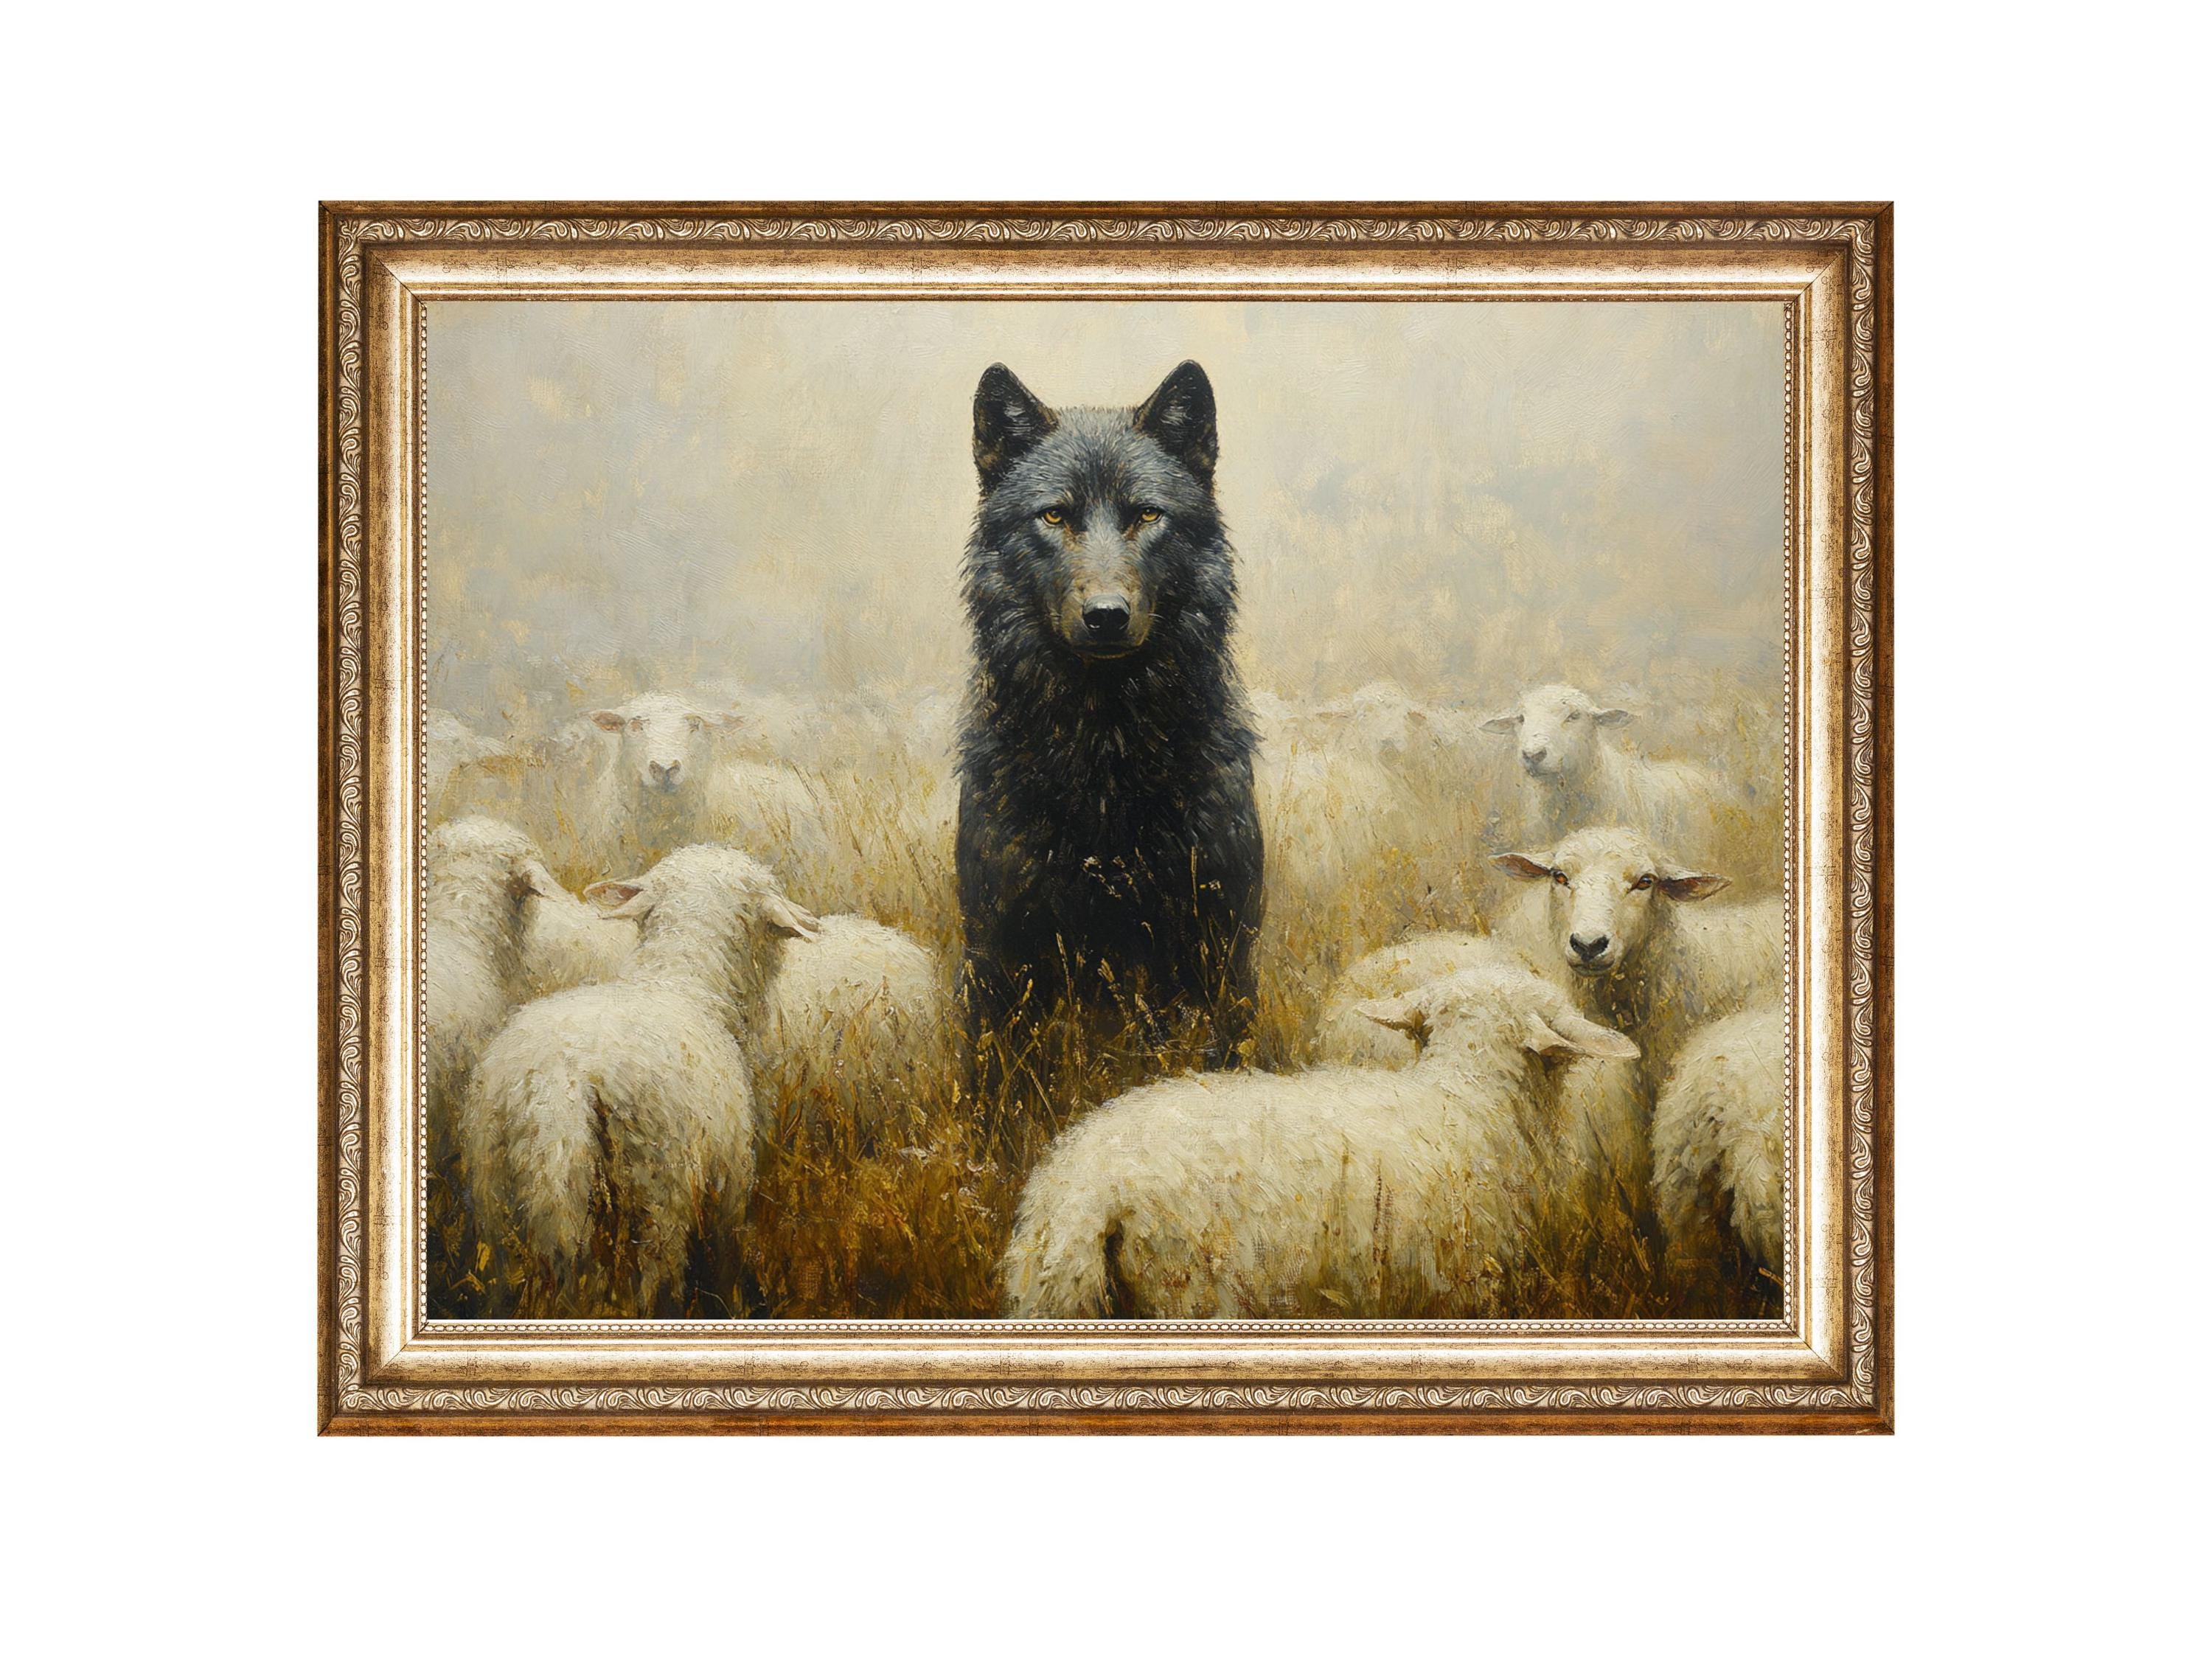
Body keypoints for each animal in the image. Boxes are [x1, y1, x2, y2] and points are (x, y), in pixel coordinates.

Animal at [457, 843, 820, 1315]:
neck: (679, 981)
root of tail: (557, 1083)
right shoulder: (729, 1196)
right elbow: (725, 1273)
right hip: (657, 1194)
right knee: (654, 1288)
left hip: (495, 1199)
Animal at [955, 360, 1265, 1094]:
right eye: (1055, 515)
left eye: (1147, 515)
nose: (1106, 615)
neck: (1105, 755)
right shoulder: (995, 954)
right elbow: (991, 1095)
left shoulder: (1224, 952)